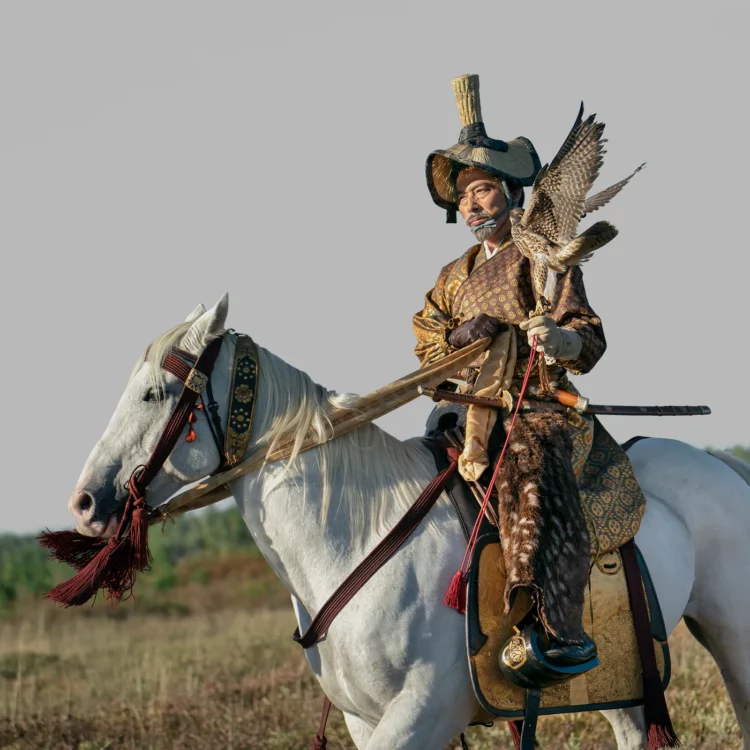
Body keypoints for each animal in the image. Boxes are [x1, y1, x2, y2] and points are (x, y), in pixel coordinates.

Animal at [67, 296, 748, 750]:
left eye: (154, 393)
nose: (85, 503)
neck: (356, 540)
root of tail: (724, 466)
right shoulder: (364, 721)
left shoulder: (421, 714)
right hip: (622, 677)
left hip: (732, 635)